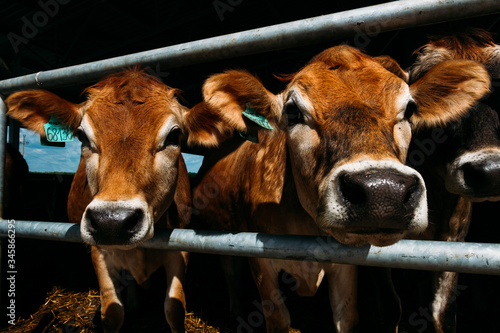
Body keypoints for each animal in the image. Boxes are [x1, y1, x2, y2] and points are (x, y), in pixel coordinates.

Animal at [3, 67, 237, 332]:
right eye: (82, 136)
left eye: (175, 135)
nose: (112, 221)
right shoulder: (99, 252)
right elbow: (112, 312)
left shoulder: (181, 246)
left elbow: (174, 309)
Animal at [193, 44, 490, 332]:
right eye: (292, 111)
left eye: (409, 110)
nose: (383, 191)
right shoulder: (261, 266)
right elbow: (278, 319)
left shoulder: (344, 267)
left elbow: (345, 318)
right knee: (231, 275)